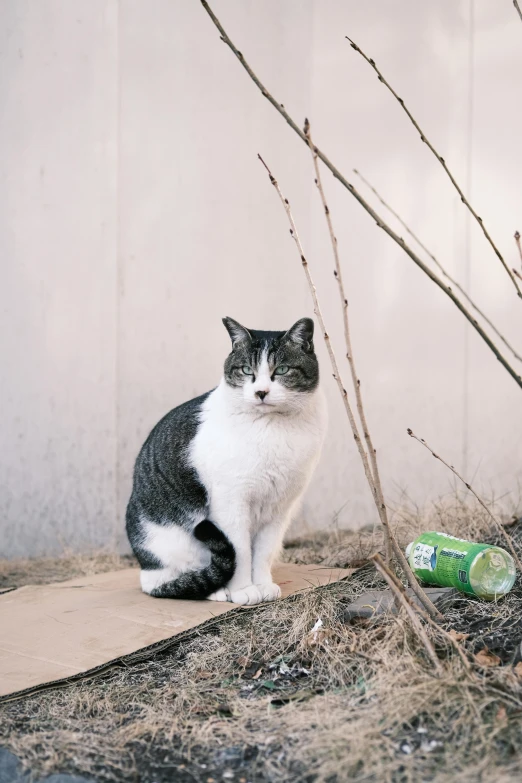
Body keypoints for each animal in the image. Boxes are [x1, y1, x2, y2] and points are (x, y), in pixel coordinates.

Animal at [125, 316, 324, 608]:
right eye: (246, 370)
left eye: (282, 370)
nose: (261, 392)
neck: (271, 428)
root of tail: (143, 566)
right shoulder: (231, 502)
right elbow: (240, 551)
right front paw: (243, 591)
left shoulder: (279, 507)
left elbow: (262, 552)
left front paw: (262, 585)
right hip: (168, 541)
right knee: (167, 582)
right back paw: (216, 590)